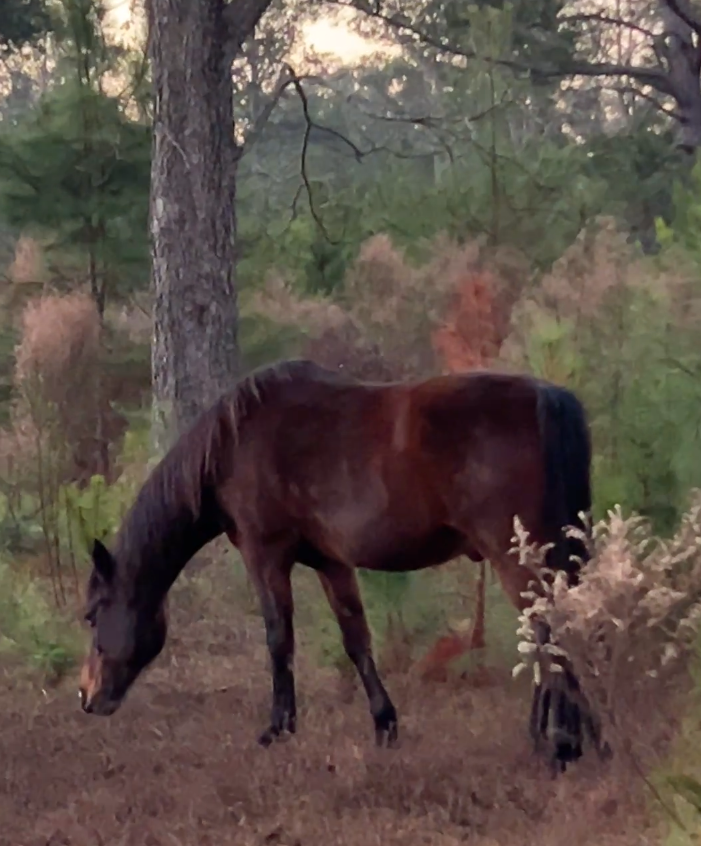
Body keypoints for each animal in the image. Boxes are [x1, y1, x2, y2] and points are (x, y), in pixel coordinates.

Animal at [78, 358, 606, 772]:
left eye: (92, 614)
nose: (86, 696)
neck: (234, 443)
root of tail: (547, 397)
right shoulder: (331, 562)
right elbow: (356, 640)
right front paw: (384, 724)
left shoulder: (265, 554)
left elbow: (279, 638)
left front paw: (278, 727)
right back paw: (575, 738)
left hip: (517, 558)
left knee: (549, 632)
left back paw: (560, 745)